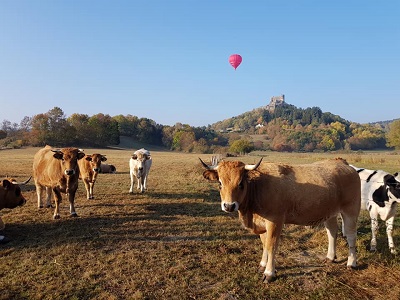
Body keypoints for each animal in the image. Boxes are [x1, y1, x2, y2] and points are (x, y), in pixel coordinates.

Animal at [202, 158, 360, 282]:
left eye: (241, 183)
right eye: (220, 183)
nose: (229, 206)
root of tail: (342, 163)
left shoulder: (275, 221)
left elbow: (271, 245)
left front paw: (269, 273)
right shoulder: (262, 224)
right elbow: (265, 244)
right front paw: (262, 264)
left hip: (351, 209)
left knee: (351, 235)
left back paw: (351, 263)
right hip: (329, 212)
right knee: (332, 232)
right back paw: (330, 257)